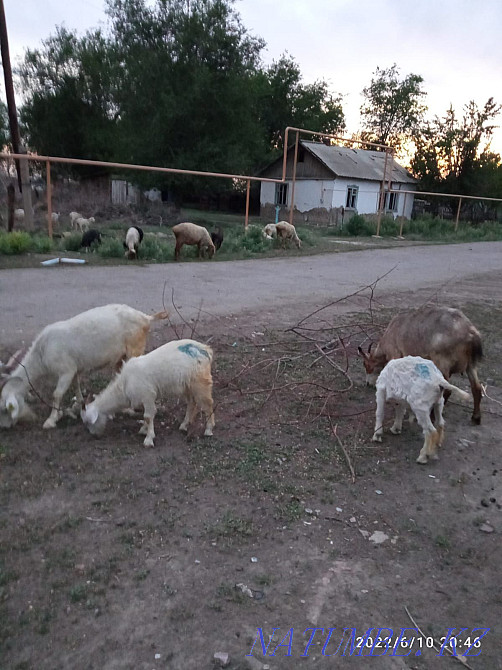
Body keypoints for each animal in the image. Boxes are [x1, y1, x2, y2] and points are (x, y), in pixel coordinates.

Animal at [0, 305, 169, 430]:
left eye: (5, 409)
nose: (5, 427)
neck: (41, 353)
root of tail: (145, 317)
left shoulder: (66, 370)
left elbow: (57, 394)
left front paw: (51, 420)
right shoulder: (74, 369)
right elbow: (76, 386)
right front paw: (78, 405)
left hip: (135, 347)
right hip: (120, 356)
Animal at [81, 339, 215, 447]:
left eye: (88, 422)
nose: (95, 436)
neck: (124, 384)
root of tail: (206, 349)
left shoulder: (148, 395)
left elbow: (148, 416)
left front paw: (148, 439)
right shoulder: (141, 399)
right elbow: (146, 416)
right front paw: (144, 430)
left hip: (200, 382)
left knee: (208, 404)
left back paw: (208, 429)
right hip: (187, 385)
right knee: (192, 403)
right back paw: (184, 425)